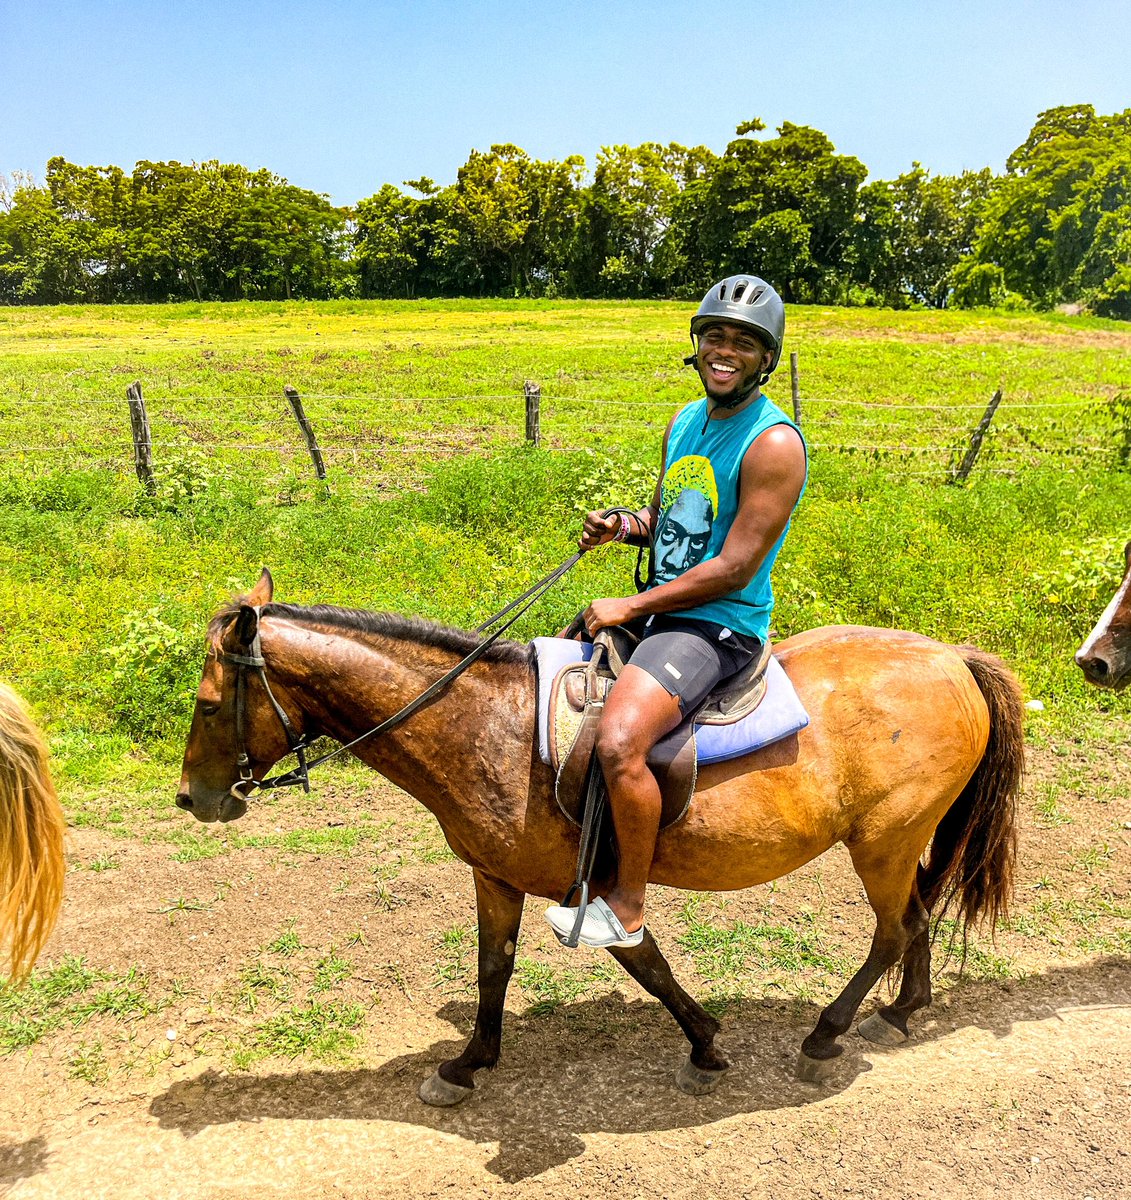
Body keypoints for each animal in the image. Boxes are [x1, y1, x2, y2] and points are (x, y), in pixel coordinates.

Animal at [177, 571, 1027, 1104]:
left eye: (210, 704)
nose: (192, 798)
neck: (488, 725)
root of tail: (952, 659)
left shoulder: (589, 884)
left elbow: (644, 962)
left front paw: (705, 1047)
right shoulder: (495, 875)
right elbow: (494, 969)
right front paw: (466, 1065)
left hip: (882, 840)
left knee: (892, 928)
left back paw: (826, 1034)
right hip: (901, 841)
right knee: (916, 916)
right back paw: (903, 1009)